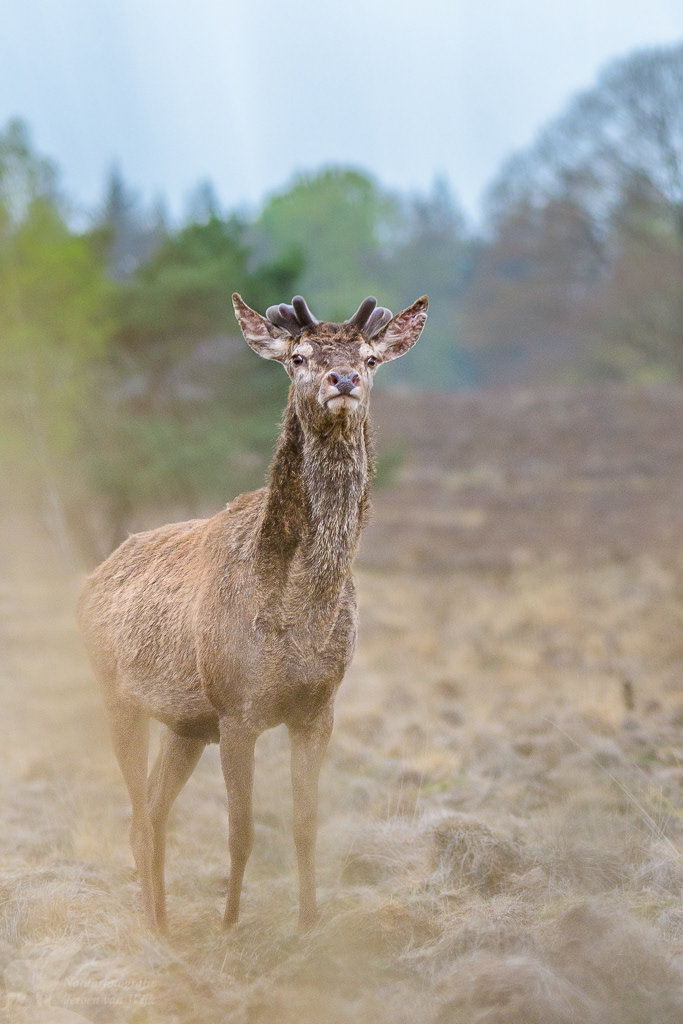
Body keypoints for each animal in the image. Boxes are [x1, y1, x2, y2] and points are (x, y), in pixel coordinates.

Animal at [77, 291, 428, 933]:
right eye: (298, 357)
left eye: (370, 358)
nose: (343, 380)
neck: (299, 616)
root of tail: (89, 582)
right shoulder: (236, 708)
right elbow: (240, 832)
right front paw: (229, 926)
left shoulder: (318, 708)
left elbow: (304, 825)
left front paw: (309, 924)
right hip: (117, 695)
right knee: (138, 818)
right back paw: (155, 930)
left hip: (185, 725)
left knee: (154, 813)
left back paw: (165, 922)